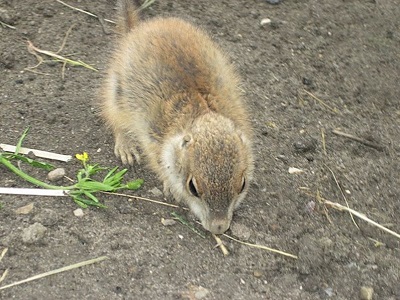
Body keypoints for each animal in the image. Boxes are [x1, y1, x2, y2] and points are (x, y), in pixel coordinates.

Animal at [99, 0, 253, 234]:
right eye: (193, 188)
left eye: (242, 183)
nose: (218, 227)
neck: (201, 113)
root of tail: (137, 28)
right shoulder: (153, 141)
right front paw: (170, 188)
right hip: (117, 95)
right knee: (116, 122)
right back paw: (126, 148)